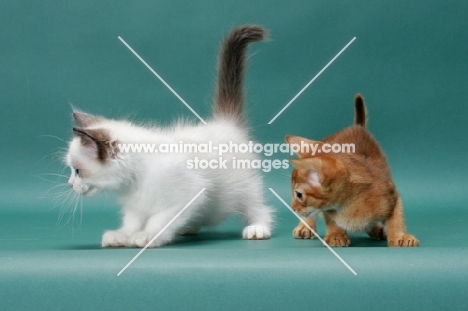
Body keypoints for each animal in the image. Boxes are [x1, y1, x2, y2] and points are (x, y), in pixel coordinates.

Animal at [64, 25, 272, 249]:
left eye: (77, 171)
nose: (69, 184)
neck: (135, 180)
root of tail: (225, 122)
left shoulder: (187, 196)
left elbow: (159, 220)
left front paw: (146, 236)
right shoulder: (137, 205)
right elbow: (132, 221)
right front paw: (122, 235)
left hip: (245, 187)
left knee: (259, 208)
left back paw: (258, 228)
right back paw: (188, 228)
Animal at [288, 94, 418, 247]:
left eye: (299, 195)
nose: (292, 208)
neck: (348, 205)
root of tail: (356, 127)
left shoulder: (392, 194)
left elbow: (396, 219)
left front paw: (399, 236)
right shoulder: (327, 209)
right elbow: (330, 219)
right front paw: (336, 235)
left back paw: (376, 229)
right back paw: (305, 227)